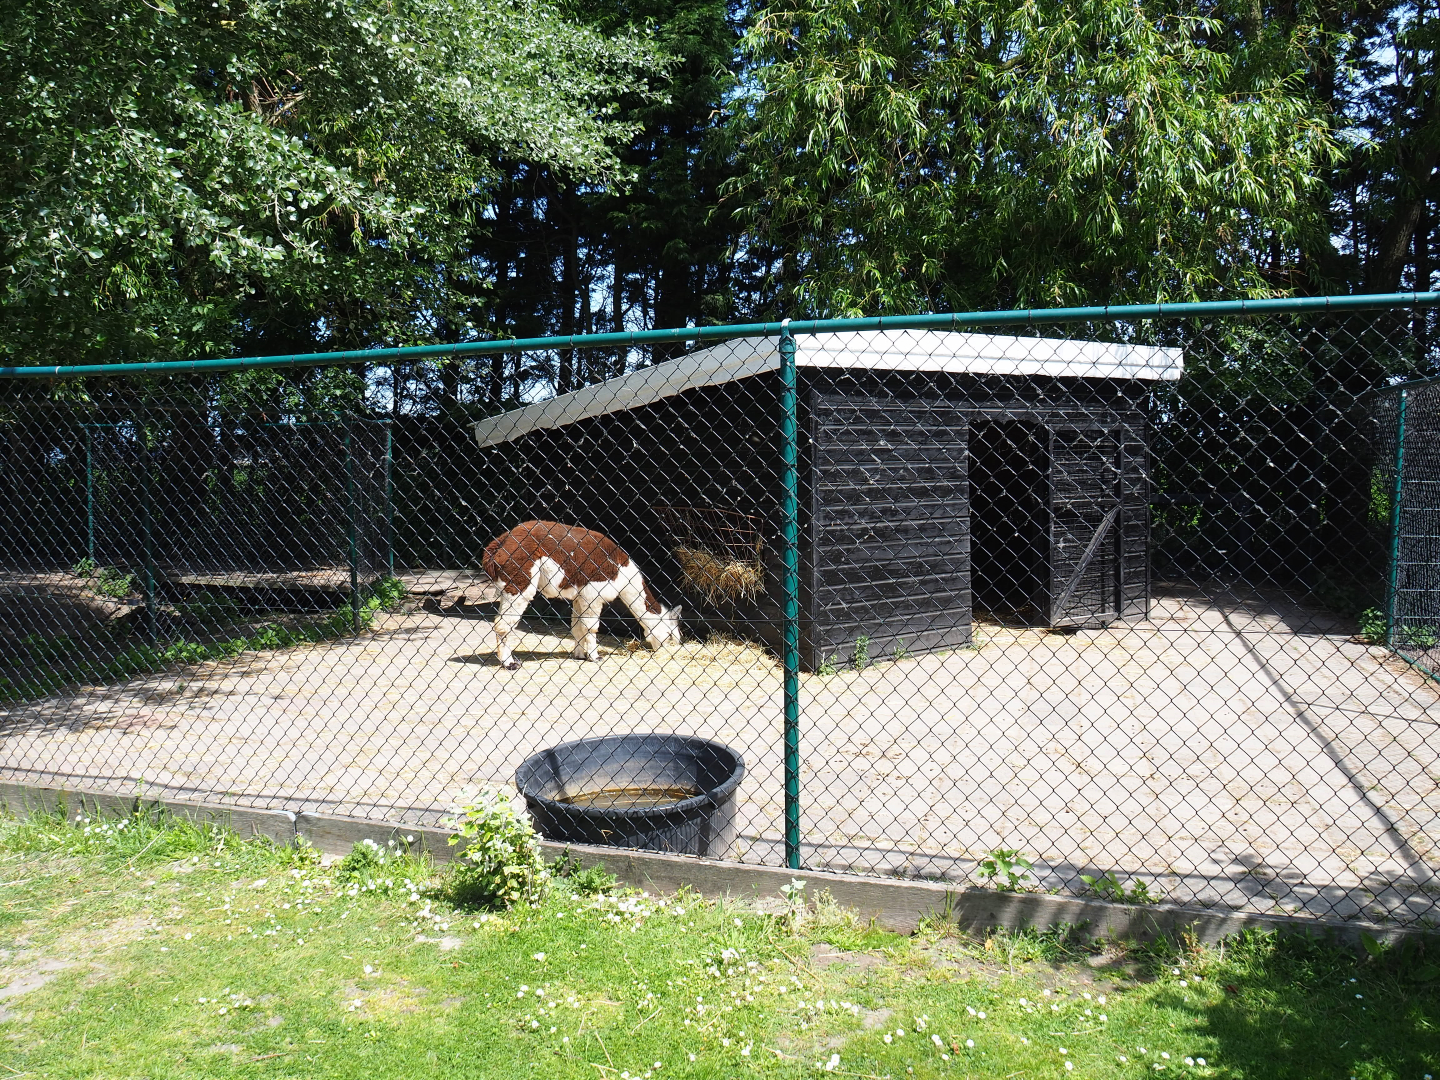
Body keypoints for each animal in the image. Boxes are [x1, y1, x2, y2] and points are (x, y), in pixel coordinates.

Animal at [481, 520, 682, 670]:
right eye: (671, 636)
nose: (671, 654)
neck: (622, 572)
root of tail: (497, 547)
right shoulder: (593, 593)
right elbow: (591, 627)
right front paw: (595, 657)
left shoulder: (580, 596)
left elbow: (577, 627)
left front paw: (579, 655)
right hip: (519, 580)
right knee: (502, 624)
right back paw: (509, 664)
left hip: (507, 586)